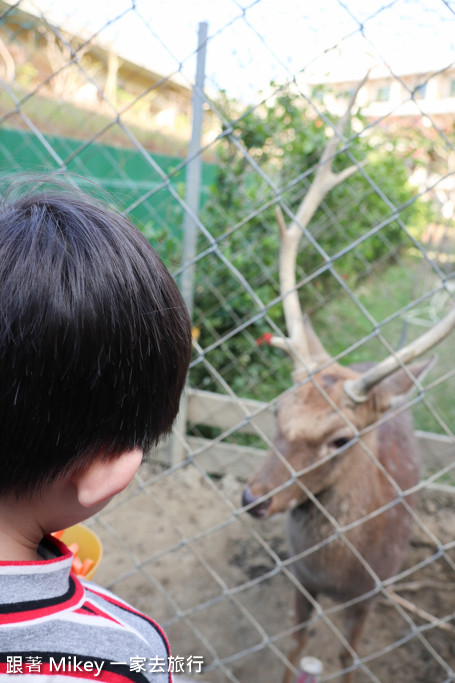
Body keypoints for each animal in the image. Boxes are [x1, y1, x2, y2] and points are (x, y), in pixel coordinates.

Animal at [242, 81, 455, 683]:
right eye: (277, 410)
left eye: (341, 438)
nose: (253, 498)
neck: (339, 575)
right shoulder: (301, 581)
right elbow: (294, 648)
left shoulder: (370, 593)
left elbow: (347, 657)